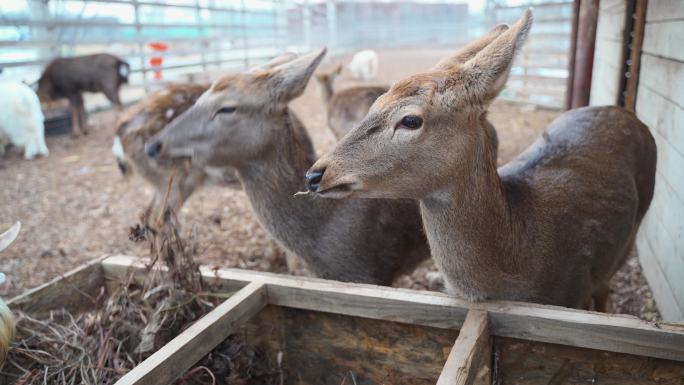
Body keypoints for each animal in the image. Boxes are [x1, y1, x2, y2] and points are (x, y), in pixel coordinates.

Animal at [306, 10, 656, 310]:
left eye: (410, 120)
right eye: (375, 102)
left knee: (606, 286)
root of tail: (628, 114)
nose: (315, 174)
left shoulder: (576, 289)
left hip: (632, 233)